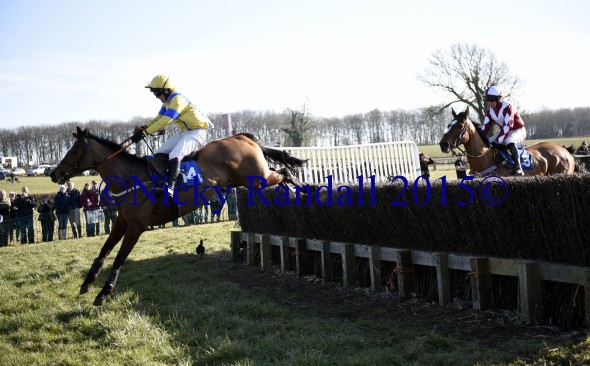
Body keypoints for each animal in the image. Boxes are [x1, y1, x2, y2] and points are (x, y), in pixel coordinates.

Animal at [50, 127, 308, 304]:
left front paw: (104, 292)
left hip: (257, 177)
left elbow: (119, 257)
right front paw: (87, 282)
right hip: (249, 179)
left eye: (74, 150)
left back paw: (303, 188)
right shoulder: (121, 222)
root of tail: (242, 137)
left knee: (284, 172)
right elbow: (103, 251)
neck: (131, 177)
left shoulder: (136, 226)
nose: (53, 174)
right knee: (280, 173)